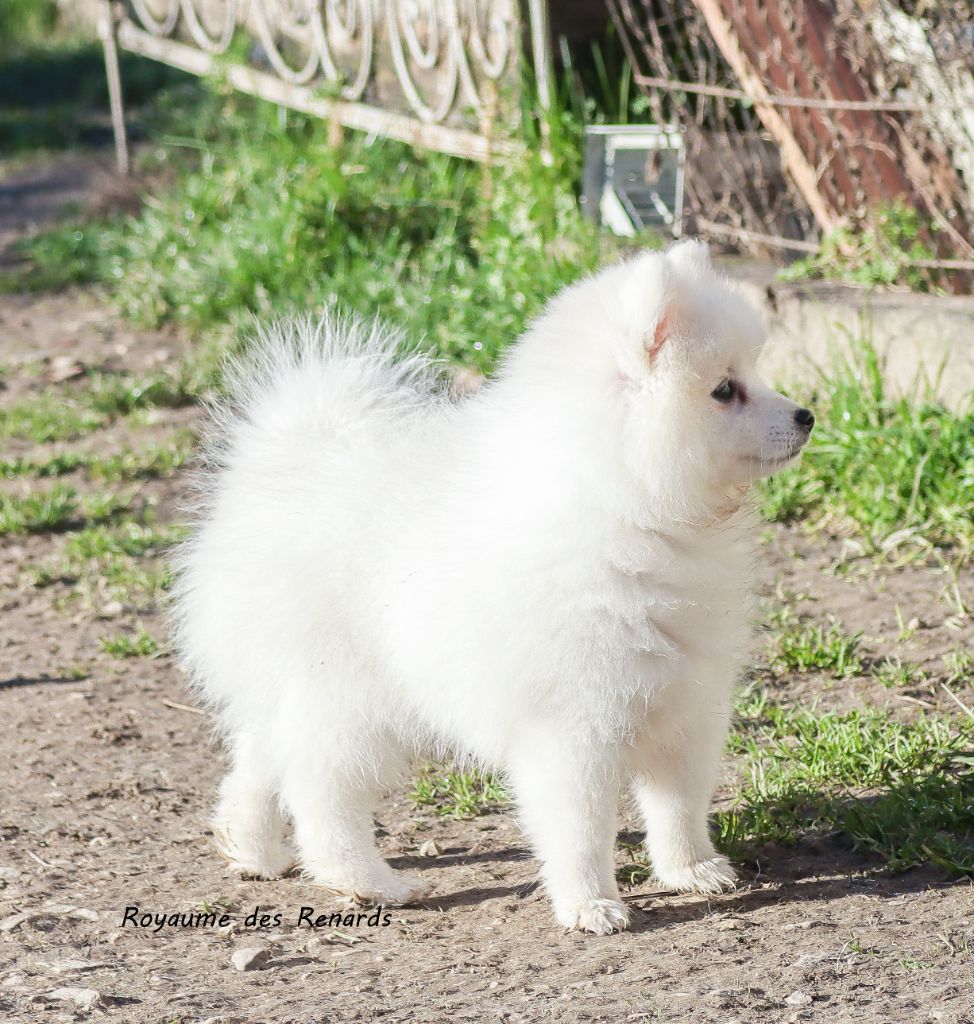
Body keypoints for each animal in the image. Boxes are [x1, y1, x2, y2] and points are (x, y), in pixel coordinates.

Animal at [172, 240, 813, 934]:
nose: (806, 415)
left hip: (292, 688)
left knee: (259, 762)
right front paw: (590, 904)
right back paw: (368, 882)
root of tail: (274, 466)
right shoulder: (573, 724)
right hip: (347, 696)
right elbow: (579, 828)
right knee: (320, 792)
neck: (627, 507)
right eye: (725, 390)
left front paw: (691, 870)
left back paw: (251, 849)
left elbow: (679, 804)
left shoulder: (686, 699)